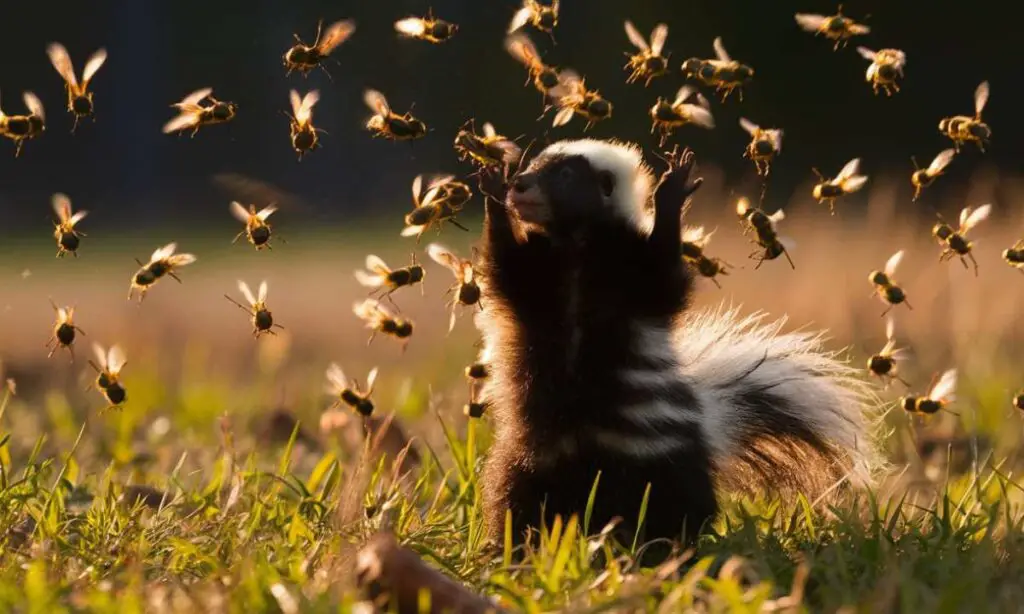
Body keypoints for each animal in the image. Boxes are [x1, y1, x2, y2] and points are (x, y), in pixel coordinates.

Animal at [473, 139, 880, 548]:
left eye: (564, 175)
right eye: (534, 165)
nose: (520, 185)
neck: (578, 247)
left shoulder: (638, 271)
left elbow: (668, 280)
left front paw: (670, 194)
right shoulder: (536, 273)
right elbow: (503, 268)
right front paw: (492, 188)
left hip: (661, 461)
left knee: (672, 506)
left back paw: (666, 548)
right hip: (528, 458)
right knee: (515, 502)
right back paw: (519, 547)